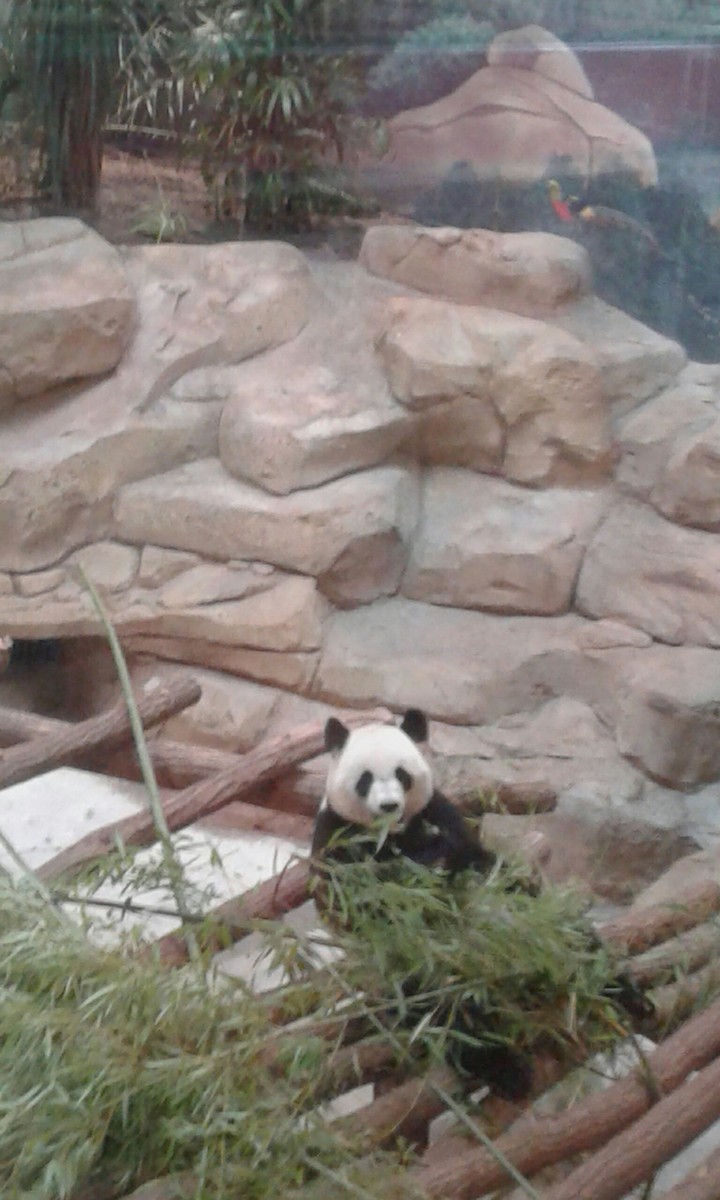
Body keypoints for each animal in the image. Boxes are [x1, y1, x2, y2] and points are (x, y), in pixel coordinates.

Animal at [311, 707, 654, 1102]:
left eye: (402, 774)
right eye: (364, 780)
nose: (388, 806)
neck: (394, 834)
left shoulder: (440, 814)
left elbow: (469, 856)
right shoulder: (338, 839)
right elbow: (366, 895)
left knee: (570, 938)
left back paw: (626, 995)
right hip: (407, 962)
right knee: (440, 1006)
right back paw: (506, 1069)